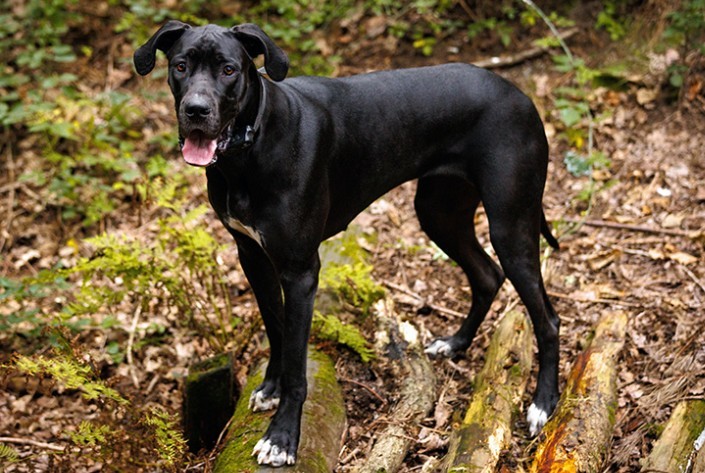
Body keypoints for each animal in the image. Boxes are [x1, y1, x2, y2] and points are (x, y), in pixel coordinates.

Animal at [135, 21, 560, 464]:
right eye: (181, 65)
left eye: (229, 70)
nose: (196, 110)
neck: (250, 150)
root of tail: (521, 95)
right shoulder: (252, 256)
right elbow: (276, 329)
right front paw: (270, 388)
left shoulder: (301, 271)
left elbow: (297, 365)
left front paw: (282, 438)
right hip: (439, 213)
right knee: (487, 276)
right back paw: (455, 343)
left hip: (510, 225)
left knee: (546, 318)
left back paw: (543, 403)